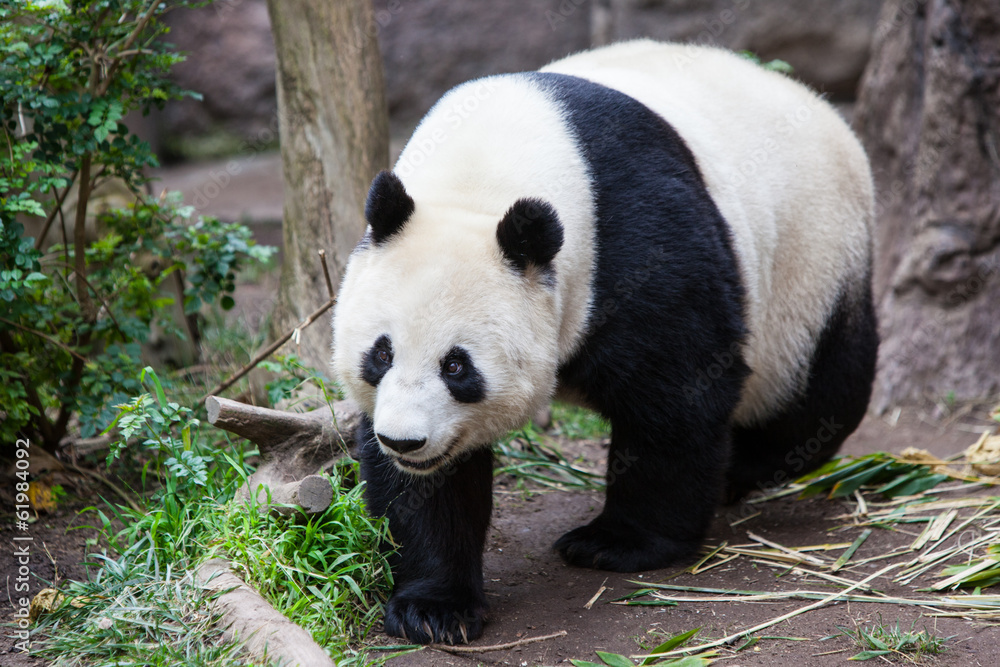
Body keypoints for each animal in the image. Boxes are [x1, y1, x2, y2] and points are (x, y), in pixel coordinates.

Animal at [332, 40, 877, 644]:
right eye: (381, 354)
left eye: (457, 366)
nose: (404, 441)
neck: (486, 172)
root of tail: (819, 105)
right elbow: (430, 487)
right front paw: (433, 608)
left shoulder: (637, 240)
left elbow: (676, 393)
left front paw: (616, 544)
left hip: (811, 263)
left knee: (813, 396)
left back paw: (744, 467)